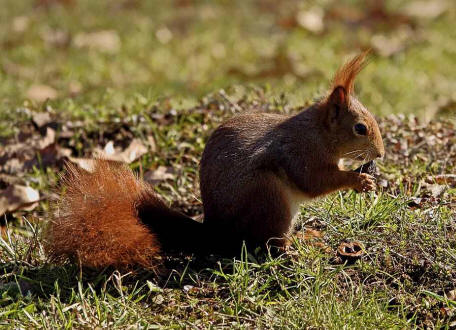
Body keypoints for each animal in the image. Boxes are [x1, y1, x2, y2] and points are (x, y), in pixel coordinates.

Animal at [44, 51, 384, 268]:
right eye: (360, 128)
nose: (380, 153)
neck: (318, 133)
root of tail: (216, 232)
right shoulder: (299, 153)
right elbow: (314, 181)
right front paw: (358, 179)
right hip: (268, 198)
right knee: (265, 243)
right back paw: (295, 246)